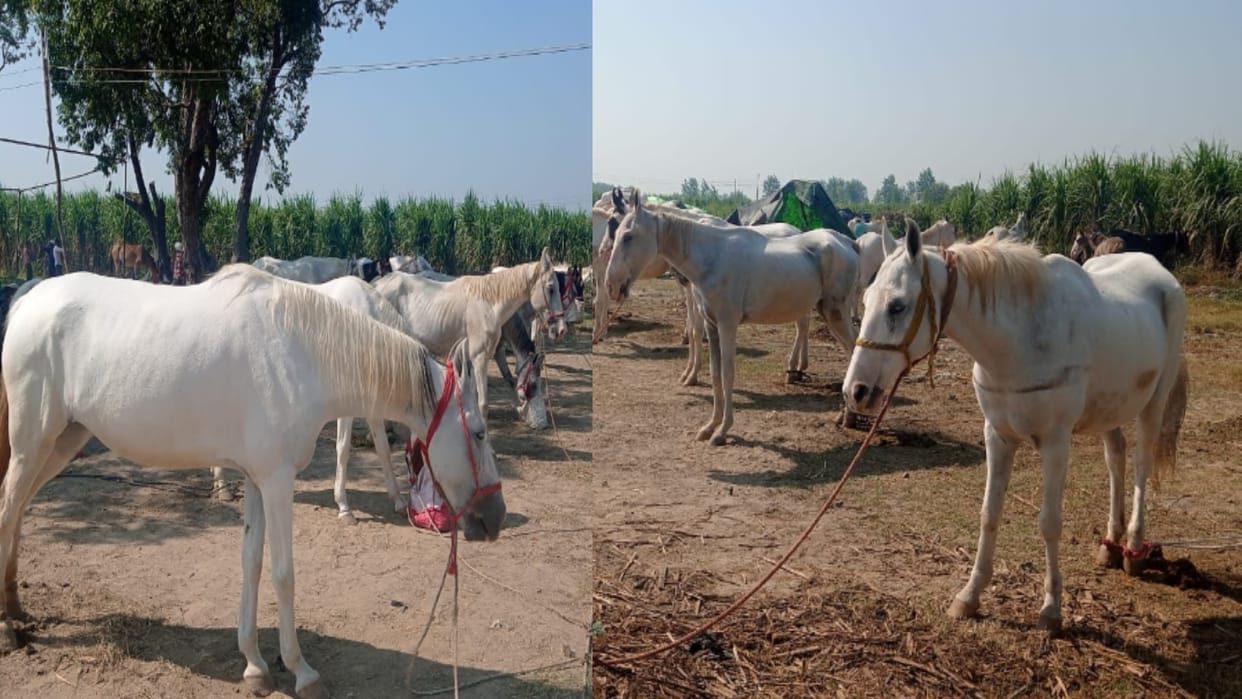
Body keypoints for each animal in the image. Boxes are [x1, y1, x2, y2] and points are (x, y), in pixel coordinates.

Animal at [0, 266, 505, 697]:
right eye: (479, 433)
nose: (495, 518)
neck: (301, 353)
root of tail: (29, 298)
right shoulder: (277, 481)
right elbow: (283, 573)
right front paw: (301, 671)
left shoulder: (256, 479)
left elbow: (251, 564)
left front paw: (255, 666)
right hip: (32, 444)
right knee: (8, 511)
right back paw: (7, 629)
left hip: (64, 441)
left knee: (20, 510)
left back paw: (16, 607)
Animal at [374, 249, 565, 423]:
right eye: (551, 288)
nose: (561, 329)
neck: (489, 305)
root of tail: (376, 285)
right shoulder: (480, 357)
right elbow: (483, 403)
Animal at [606, 189, 859, 446]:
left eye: (628, 236)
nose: (611, 286)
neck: (712, 258)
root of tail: (847, 242)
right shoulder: (712, 326)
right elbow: (715, 373)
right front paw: (710, 426)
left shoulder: (727, 325)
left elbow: (728, 374)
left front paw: (722, 430)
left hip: (835, 312)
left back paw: (848, 414)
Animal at [843, 231, 1189, 635]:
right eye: (866, 299)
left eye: (897, 306)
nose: (856, 391)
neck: (1017, 341)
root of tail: (1161, 273)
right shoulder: (998, 436)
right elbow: (989, 514)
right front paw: (970, 596)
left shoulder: (1056, 443)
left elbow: (1050, 523)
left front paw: (1051, 610)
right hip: (1110, 409)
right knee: (1115, 458)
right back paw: (1110, 544)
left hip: (1154, 404)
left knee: (1139, 464)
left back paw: (1134, 548)